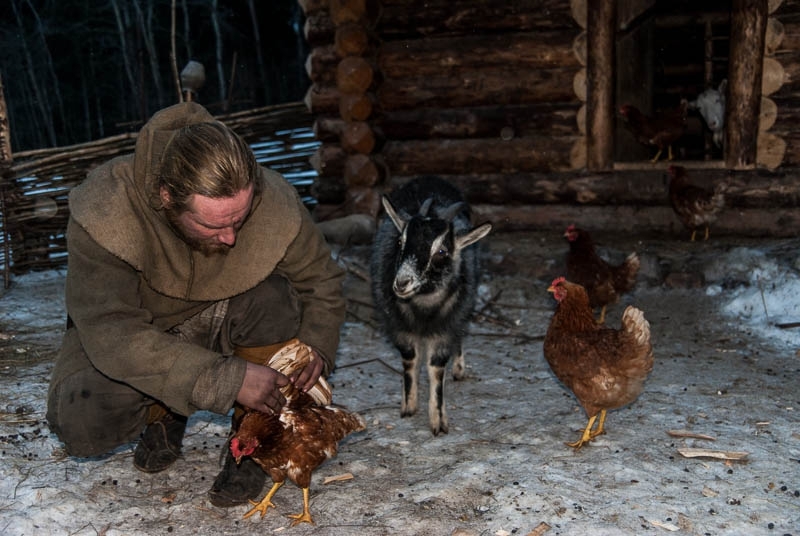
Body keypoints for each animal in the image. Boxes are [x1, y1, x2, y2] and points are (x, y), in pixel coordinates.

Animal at [370, 176, 494, 436]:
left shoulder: (445, 327)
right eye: (400, 241)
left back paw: (459, 368)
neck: (423, 311)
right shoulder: (399, 326)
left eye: (442, 251)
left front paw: (438, 421)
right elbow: (410, 360)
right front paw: (408, 405)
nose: (402, 282)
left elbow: (436, 368)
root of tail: (430, 179)